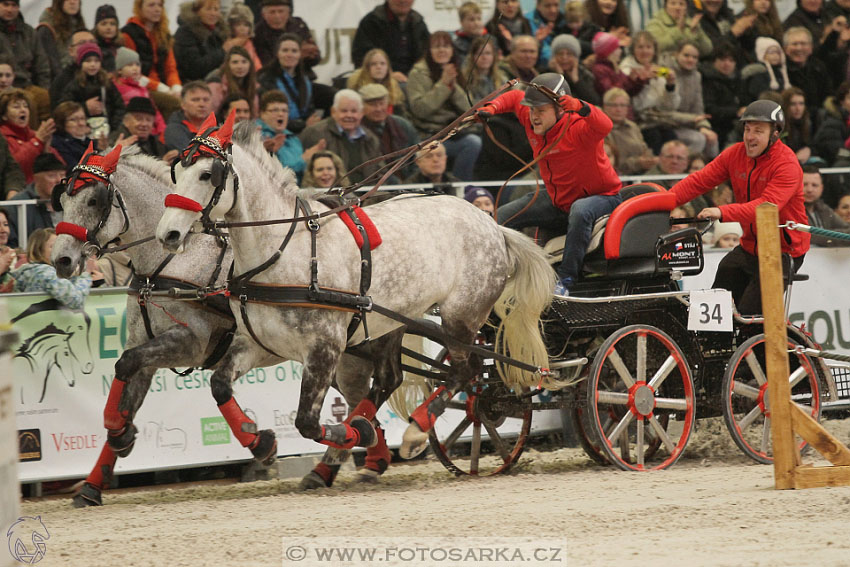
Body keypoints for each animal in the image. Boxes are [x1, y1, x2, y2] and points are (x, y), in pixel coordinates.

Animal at [157, 114, 556, 462]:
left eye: (207, 174)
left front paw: (358, 434)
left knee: (466, 370)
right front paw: (259, 442)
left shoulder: (324, 348)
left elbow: (307, 422)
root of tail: (491, 223)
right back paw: (369, 422)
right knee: (392, 376)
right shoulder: (258, 344)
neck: (285, 253)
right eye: (177, 172)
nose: (168, 234)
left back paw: (414, 431)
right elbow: (220, 385)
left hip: (461, 315)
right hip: (394, 319)